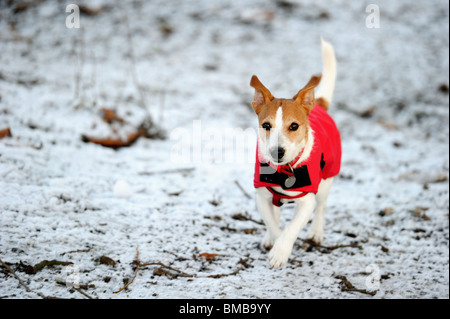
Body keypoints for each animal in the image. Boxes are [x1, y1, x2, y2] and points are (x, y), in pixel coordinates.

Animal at [250, 37, 342, 268]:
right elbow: (273, 224)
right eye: (266, 125)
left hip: (327, 179)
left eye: (293, 126)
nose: (277, 152)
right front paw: (273, 240)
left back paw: (316, 232)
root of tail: (319, 105)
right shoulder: (262, 196)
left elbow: (291, 228)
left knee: (322, 206)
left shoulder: (306, 201)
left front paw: (280, 251)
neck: (284, 170)